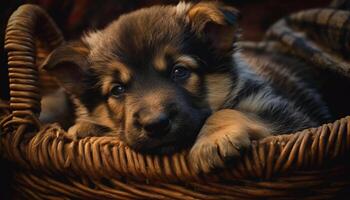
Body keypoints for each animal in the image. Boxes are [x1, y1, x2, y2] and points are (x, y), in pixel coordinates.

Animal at [41, 1, 330, 172]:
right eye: (117, 90)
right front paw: (86, 127)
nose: (155, 125)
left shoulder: (290, 119)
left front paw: (214, 140)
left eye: (179, 71)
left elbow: (226, 111)